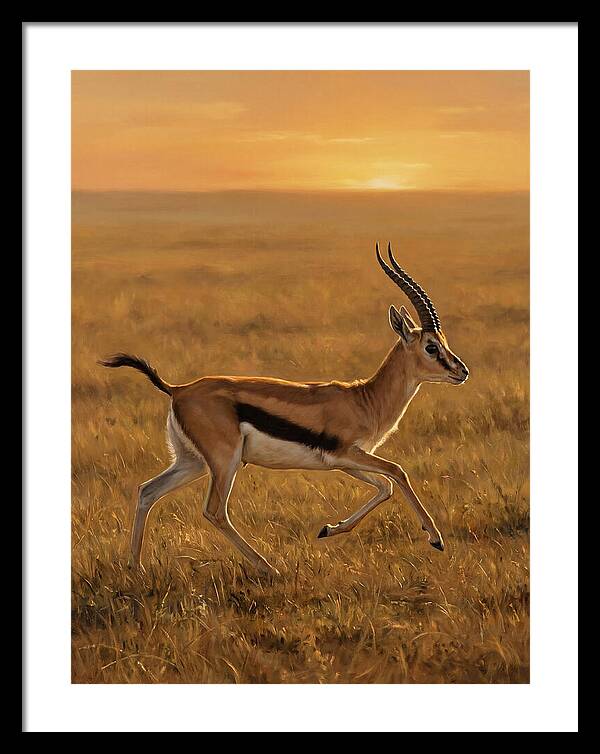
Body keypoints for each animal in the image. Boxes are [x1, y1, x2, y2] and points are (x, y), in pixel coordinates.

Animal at [100, 243, 469, 577]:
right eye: (431, 347)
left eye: (444, 342)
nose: (462, 371)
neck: (365, 399)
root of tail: (178, 389)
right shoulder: (347, 453)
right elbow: (397, 472)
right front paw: (436, 539)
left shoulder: (344, 461)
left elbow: (385, 486)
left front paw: (328, 529)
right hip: (224, 461)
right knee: (215, 511)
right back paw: (269, 568)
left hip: (192, 462)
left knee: (147, 491)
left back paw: (136, 568)